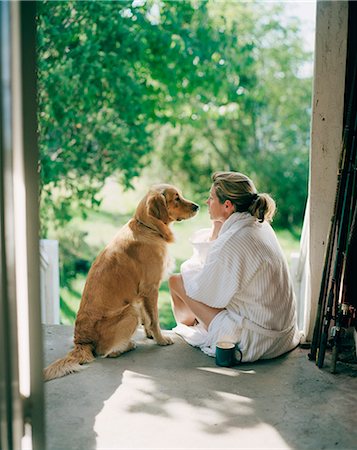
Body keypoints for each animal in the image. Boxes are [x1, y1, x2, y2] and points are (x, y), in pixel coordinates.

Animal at [43, 185, 199, 382]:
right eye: (176, 198)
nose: (197, 206)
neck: (148, 227)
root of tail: (81, 341)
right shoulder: (150, 288)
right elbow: (154, 319)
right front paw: (161, 339)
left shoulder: (141, 294)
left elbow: (148, 317)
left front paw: (149, 334)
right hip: (130, 312)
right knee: (105, 352)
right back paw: (127, 345)